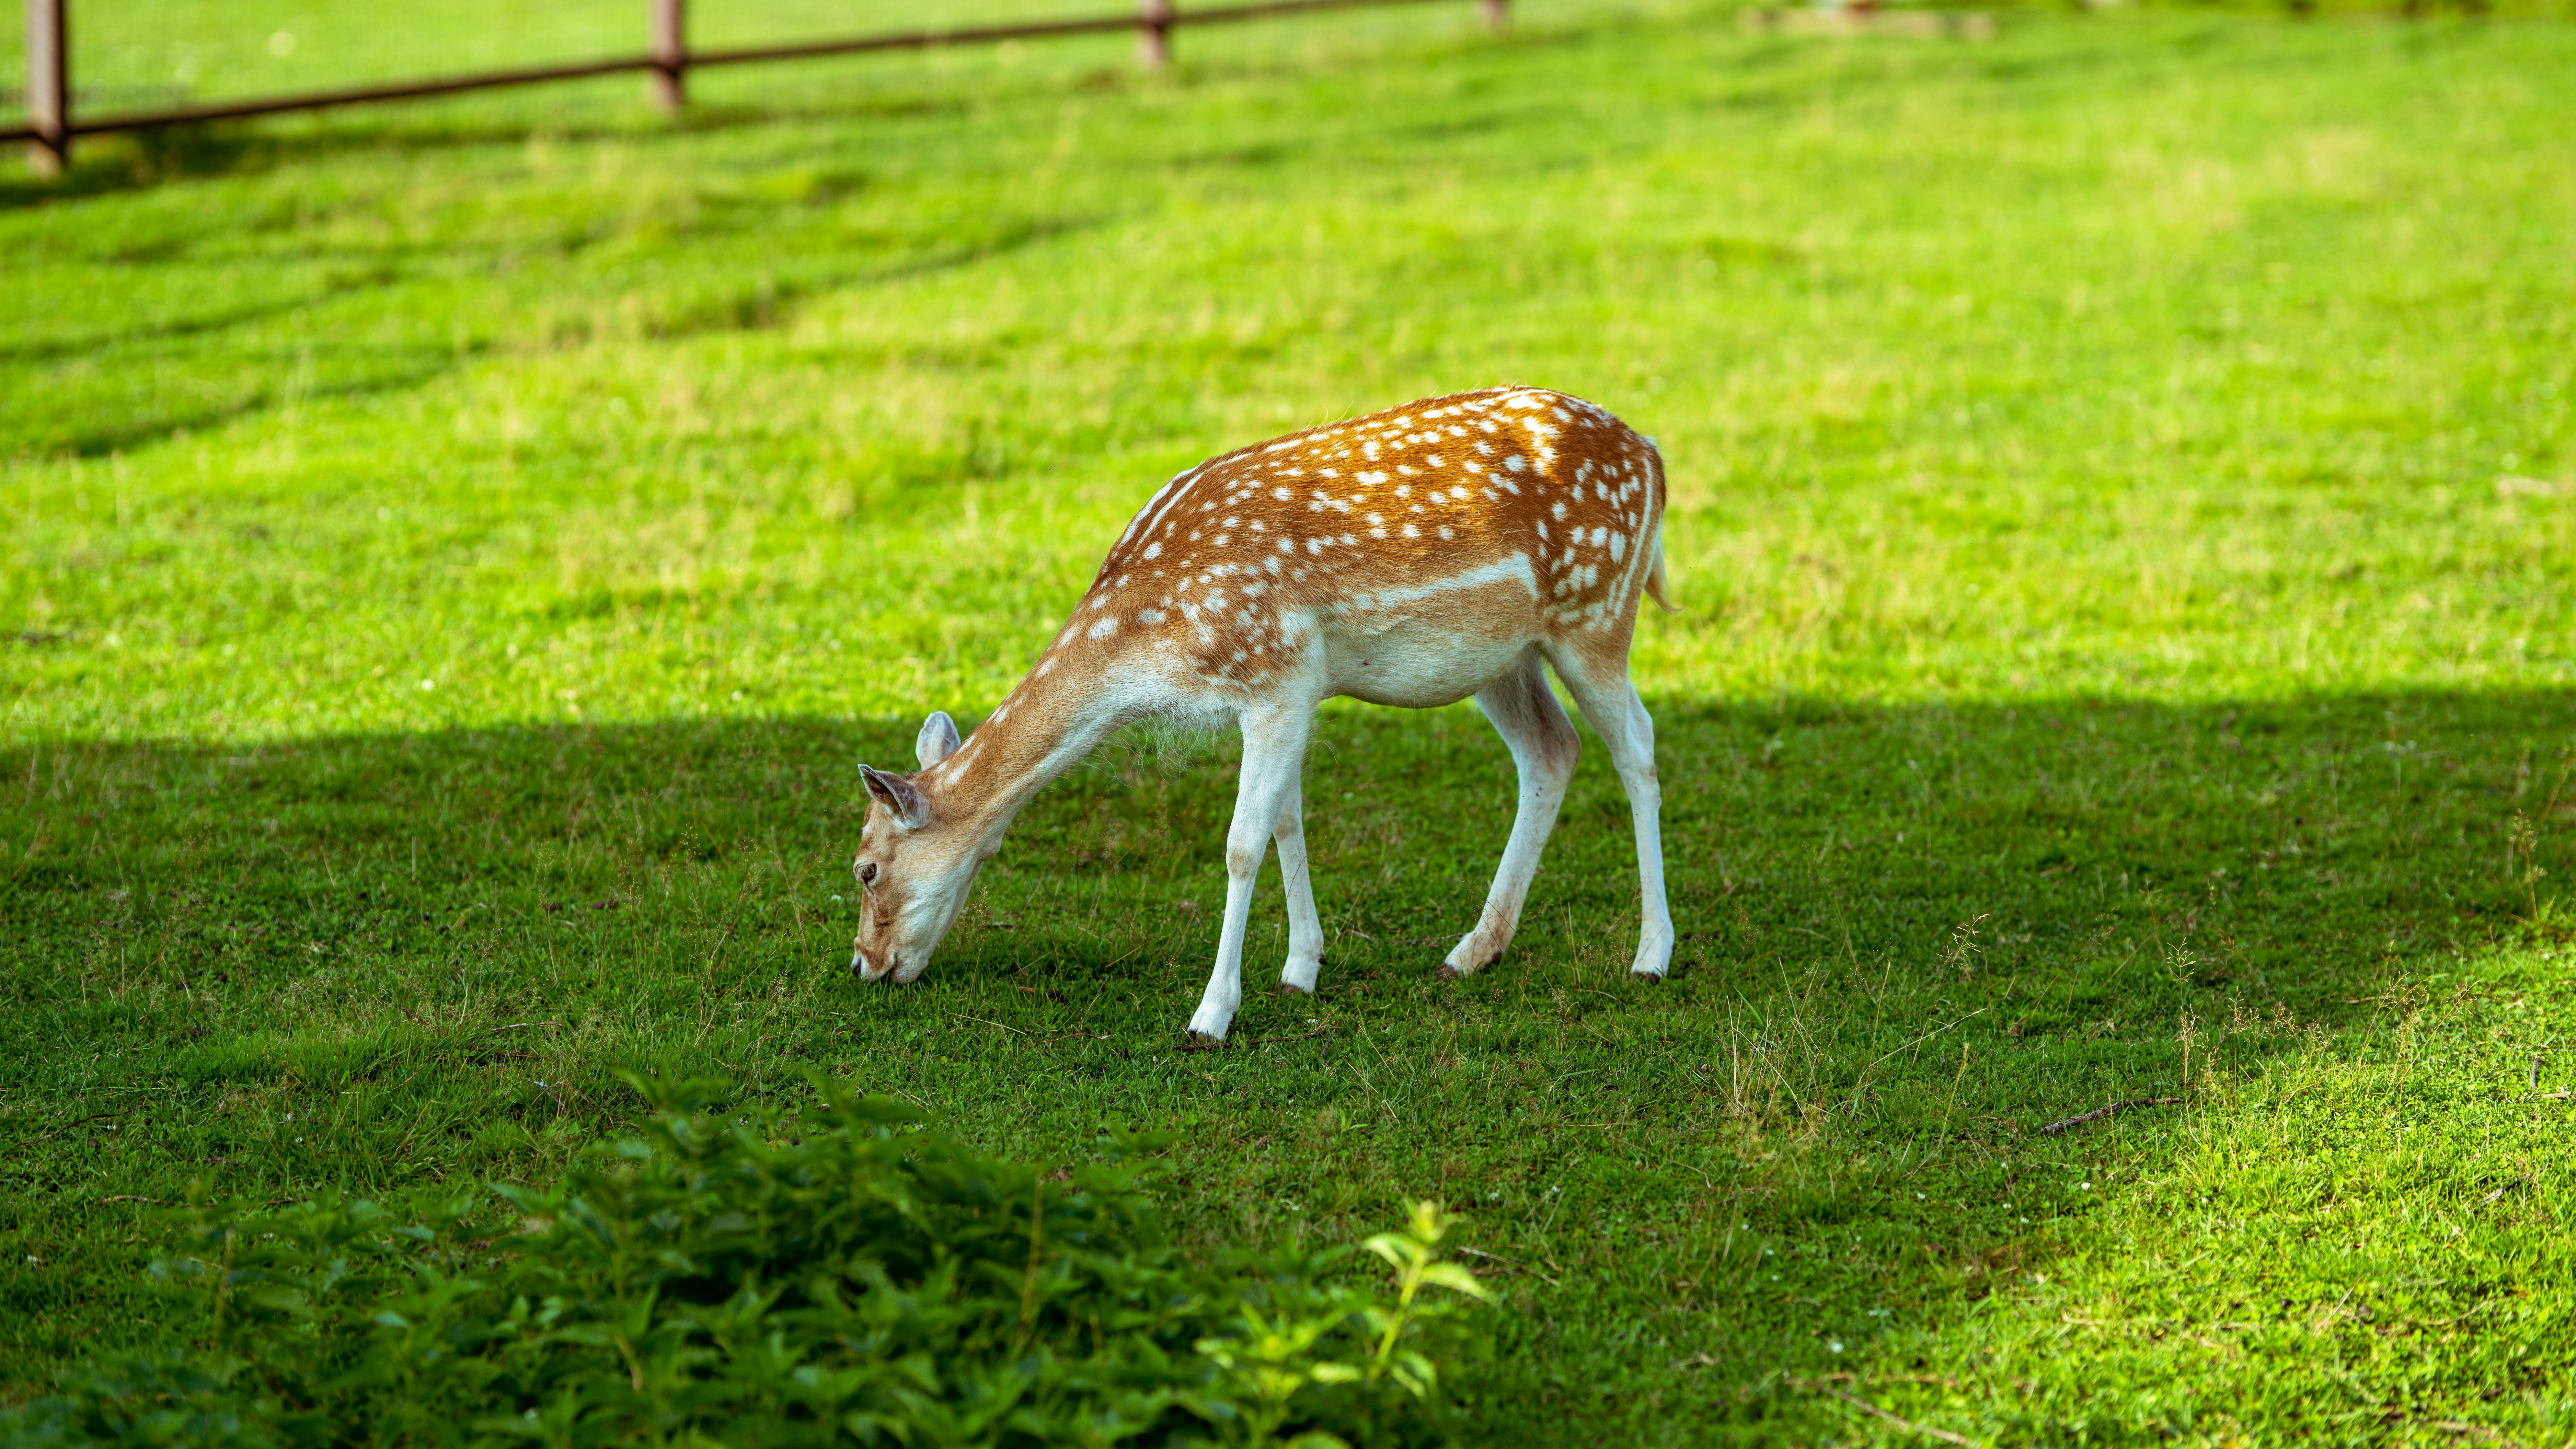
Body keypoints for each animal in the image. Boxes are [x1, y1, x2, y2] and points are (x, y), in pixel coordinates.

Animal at [848, 386, 1673, 1041]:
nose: (864, 963)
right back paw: (1474, 949)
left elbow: (1243, 843)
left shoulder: (1279, 678)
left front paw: (1212, 1014)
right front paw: (1301, 967)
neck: (1149, 642)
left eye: (865, 868)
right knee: (1551, 749)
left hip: (1597, 614)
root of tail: (1656, 459)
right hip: (1502, 657)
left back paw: (1650, 955)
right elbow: (1286, 820)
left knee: (1636, 747)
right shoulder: (1289, 694)